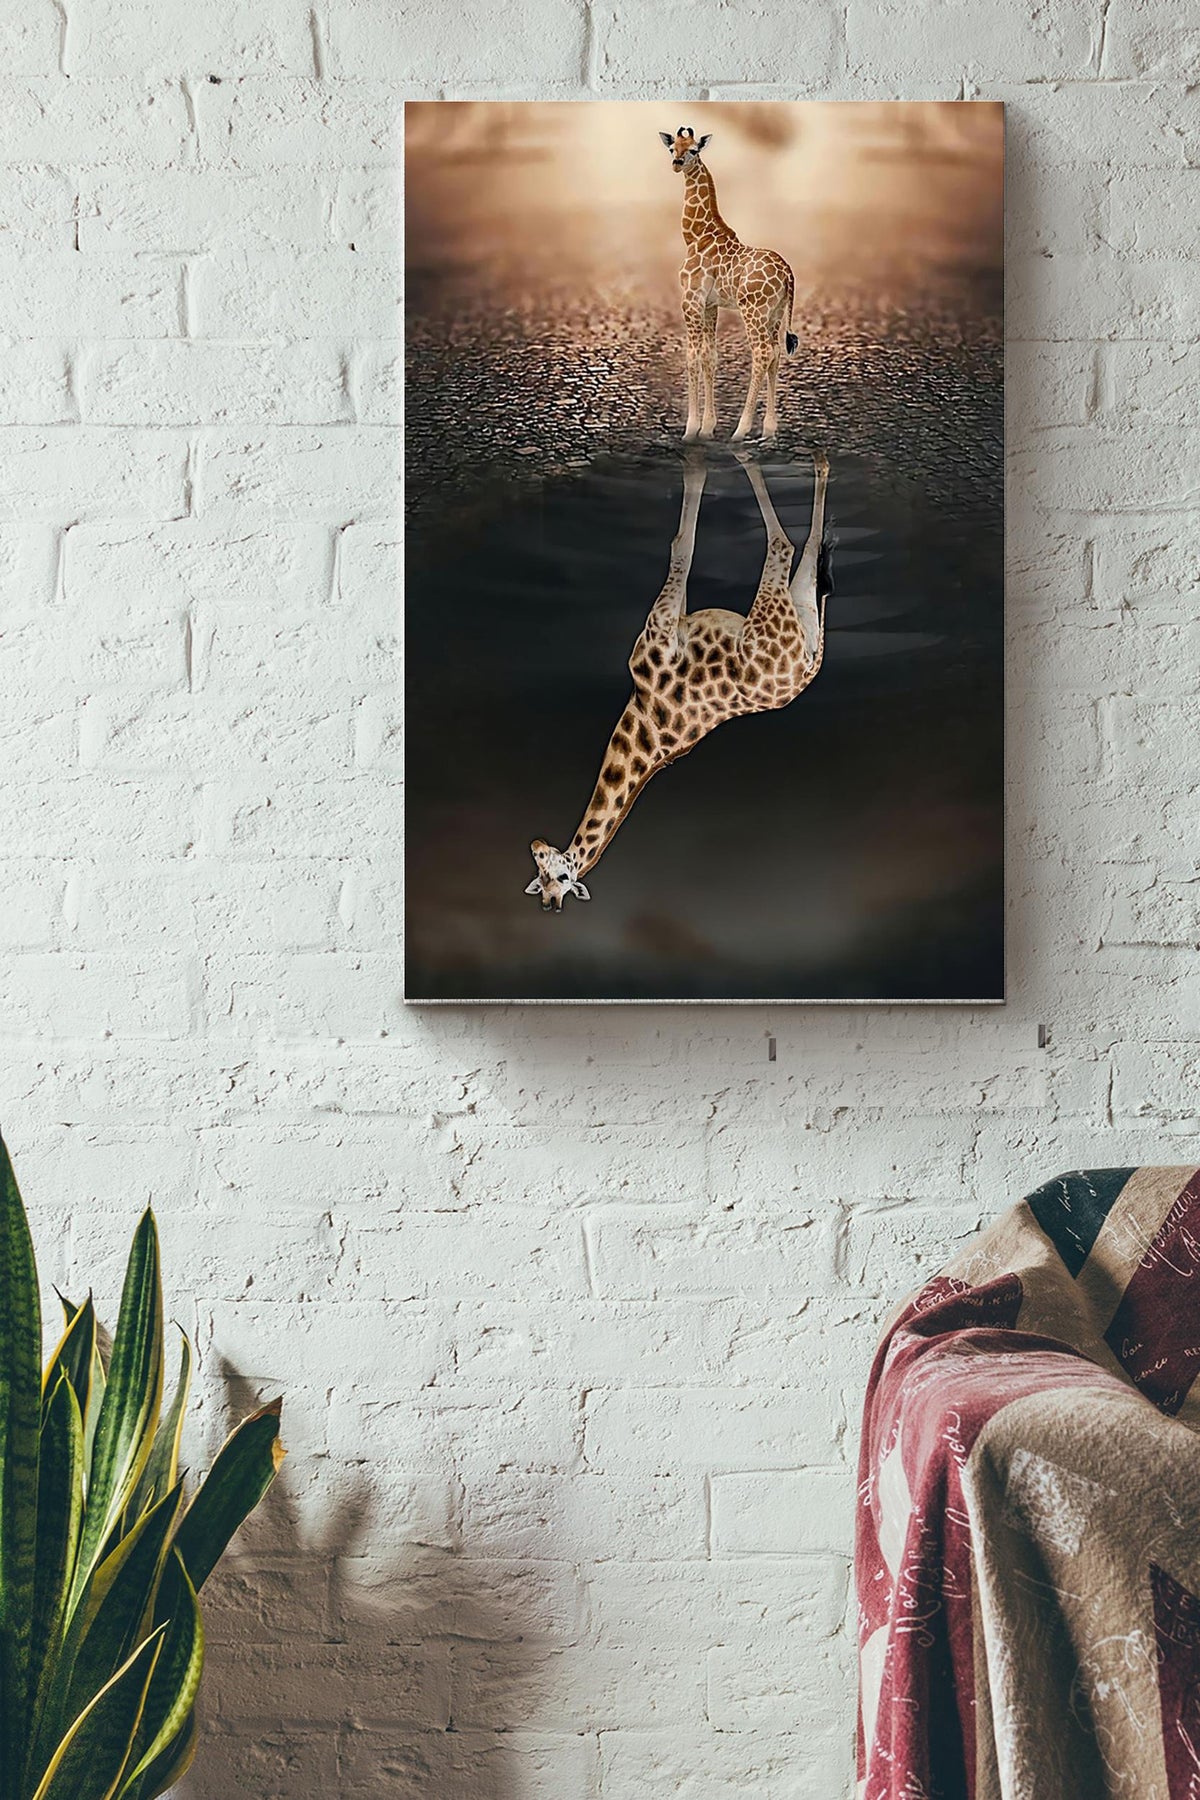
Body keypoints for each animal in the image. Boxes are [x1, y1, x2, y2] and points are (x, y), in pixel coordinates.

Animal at [525, 448, 832, 911]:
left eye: (559, 875)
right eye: (542, 880)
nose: (537, 846)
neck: (641, 724)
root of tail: (802, 669)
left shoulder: (659, 630)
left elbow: (679, 548)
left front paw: (698, 463)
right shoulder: (671, 622)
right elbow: (682, 551)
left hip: (771, 610)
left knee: (782, 542)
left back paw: (755, 453)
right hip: (798, 616)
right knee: (805, 553)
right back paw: (816, 466)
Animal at [659, 126, 799, 445]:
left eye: (693, 150)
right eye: (672, 147)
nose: (676, 163)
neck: (696, 235)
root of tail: (788, 275)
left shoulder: (690, 299)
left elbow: (692, 356)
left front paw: (690, 430)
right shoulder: (710, 304)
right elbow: (710, 356)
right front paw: (707, 427)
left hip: (753, 311)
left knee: (762, 353)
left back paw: (741, 430)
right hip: (774, 314)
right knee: (775, 354)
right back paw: (769, 430)